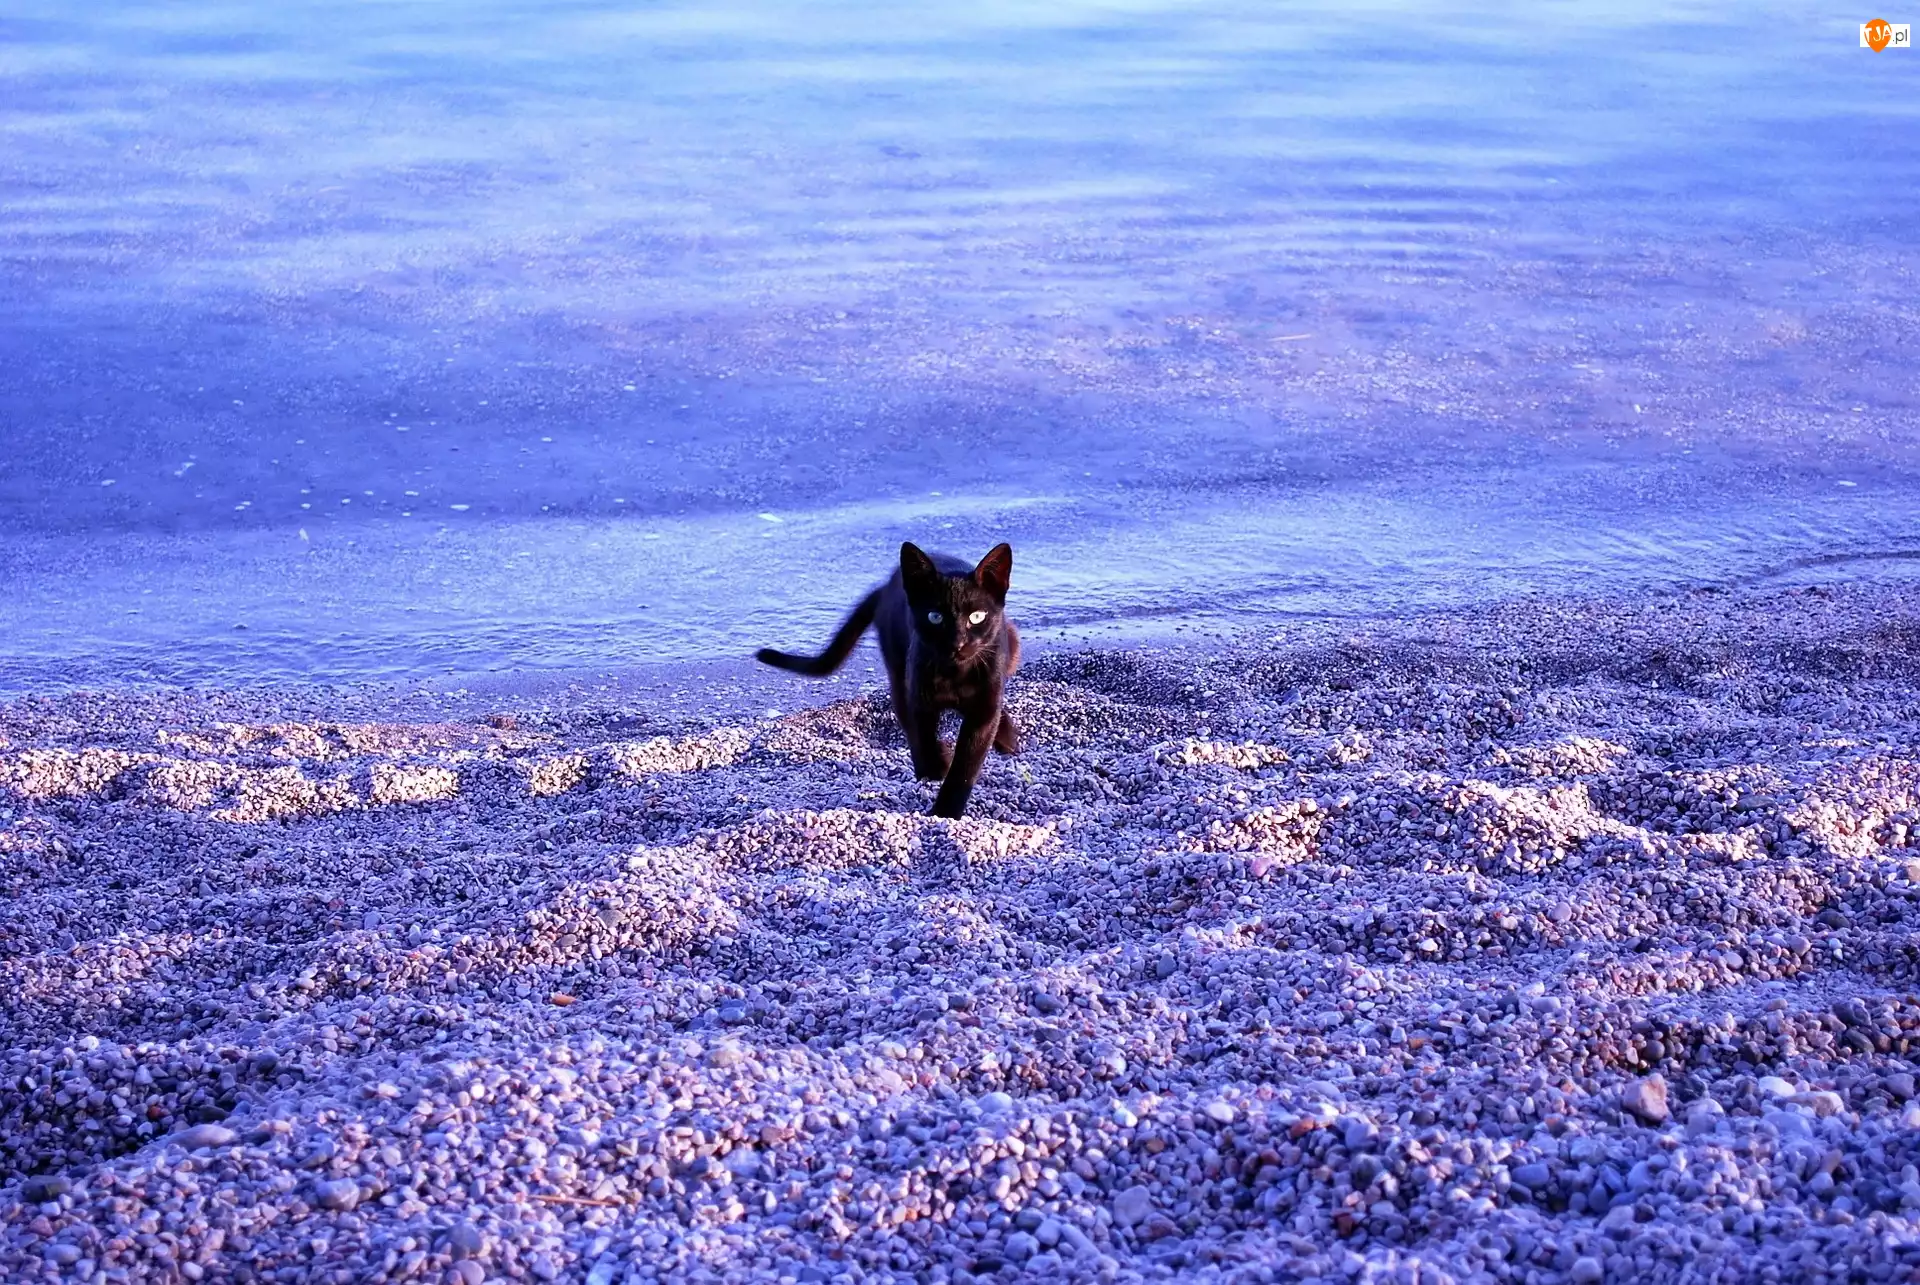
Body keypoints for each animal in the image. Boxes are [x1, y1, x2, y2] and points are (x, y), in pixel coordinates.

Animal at [756, 541, 1021, 818]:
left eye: (977, 617)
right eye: (935, 616)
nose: (957, 643)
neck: (955, 674)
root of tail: (886, 586)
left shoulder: (983, 711)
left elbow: (966, 767)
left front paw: (946, 811)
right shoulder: (920, 698)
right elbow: (923, 737)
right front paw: (933, 770)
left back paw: (1006, 738)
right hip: (899, 673)